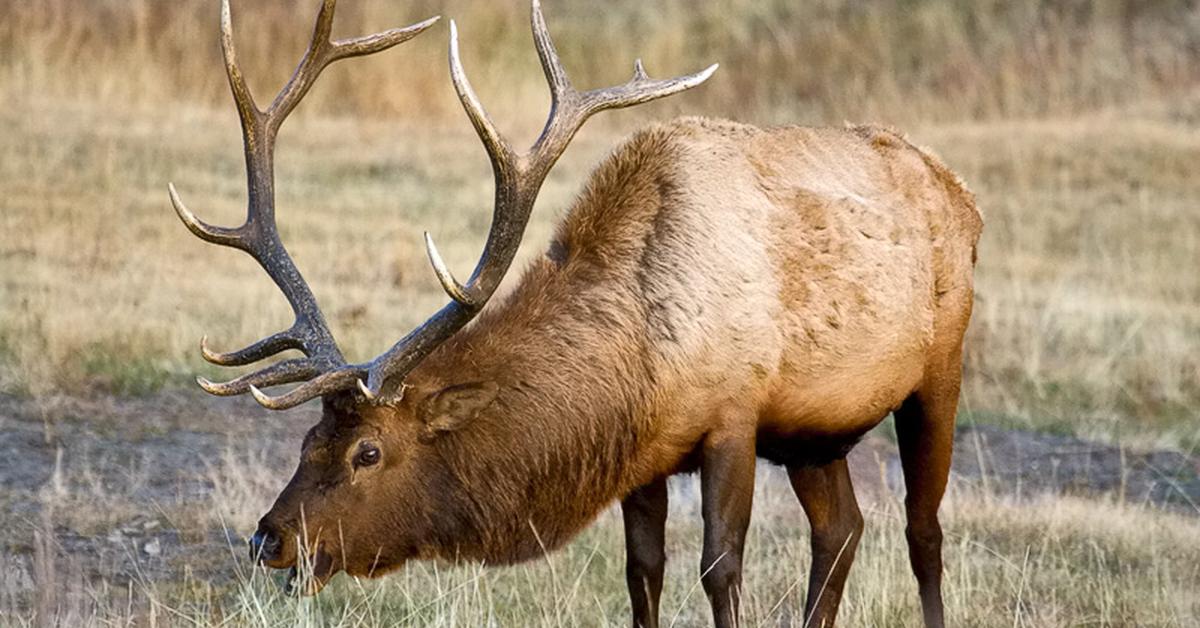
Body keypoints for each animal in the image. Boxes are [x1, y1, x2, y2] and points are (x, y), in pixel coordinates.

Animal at [169, 1, 979, 628]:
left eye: (368, 452)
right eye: (309, 439)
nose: (269, 539)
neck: (644, 361)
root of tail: (957, 188)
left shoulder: (734, 417)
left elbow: (720, 568)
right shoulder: (649, 455)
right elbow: (642, 571)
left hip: (939, 367)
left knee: (923, 531)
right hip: (815, 434)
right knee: (842, 531)